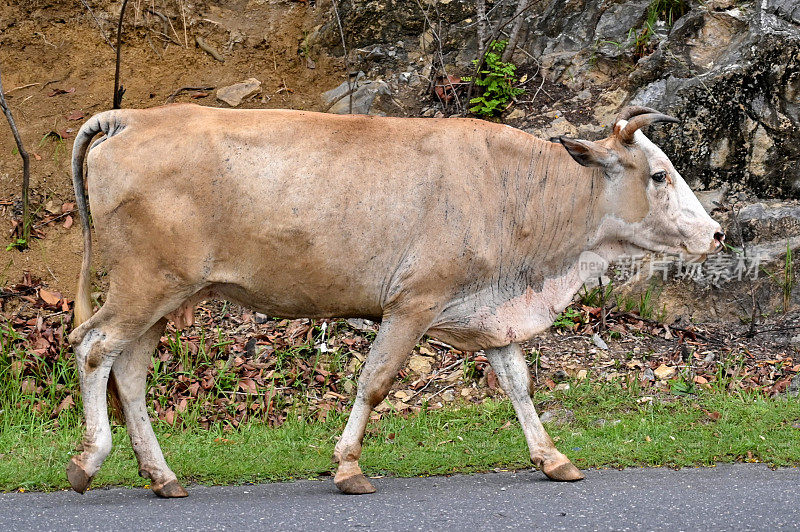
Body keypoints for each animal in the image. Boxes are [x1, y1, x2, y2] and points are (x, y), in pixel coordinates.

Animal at [65, 105, 720, 498]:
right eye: (659, 174)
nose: (715, 233)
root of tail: (131, 116)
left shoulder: (492, 311)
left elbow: (518, 384)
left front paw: (552, 458)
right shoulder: (413, 302)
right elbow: (375, 382)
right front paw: (349, 467)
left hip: (165, 295)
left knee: (130, 371)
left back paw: (161, 475)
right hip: (143, 283)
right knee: (93, 347)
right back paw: (89, 460)